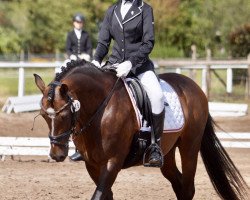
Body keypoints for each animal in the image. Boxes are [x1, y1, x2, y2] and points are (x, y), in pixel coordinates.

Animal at [33, 59, 248, 200]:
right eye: (43, 115)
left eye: (63, 115)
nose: (57, 155)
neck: (100, 109)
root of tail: (194, 87)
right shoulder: (92, 164)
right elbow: (105, 195)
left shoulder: (113, 162)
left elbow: (99, 195)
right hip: (167, 153)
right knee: (178, 184)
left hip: (189, 147)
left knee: (188, 188)